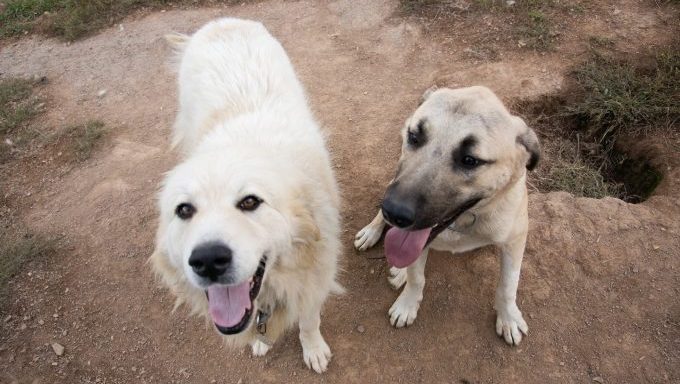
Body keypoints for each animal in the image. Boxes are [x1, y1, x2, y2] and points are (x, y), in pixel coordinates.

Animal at [149, 18, 340, 372]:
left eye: (250, 201)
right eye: (184, 210)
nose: (208, 260)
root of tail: (222, 21)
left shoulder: (315, 282)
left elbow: (309, 321)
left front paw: (314, 349)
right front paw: (261, 343)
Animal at [354, 86, 540, 344]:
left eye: (470, 160)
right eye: (414, 137)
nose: (393, 211)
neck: (463, 222)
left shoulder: (515, 239)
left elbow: (508, 285)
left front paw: (508, 317)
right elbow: (416, 278)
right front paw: (407, 304)